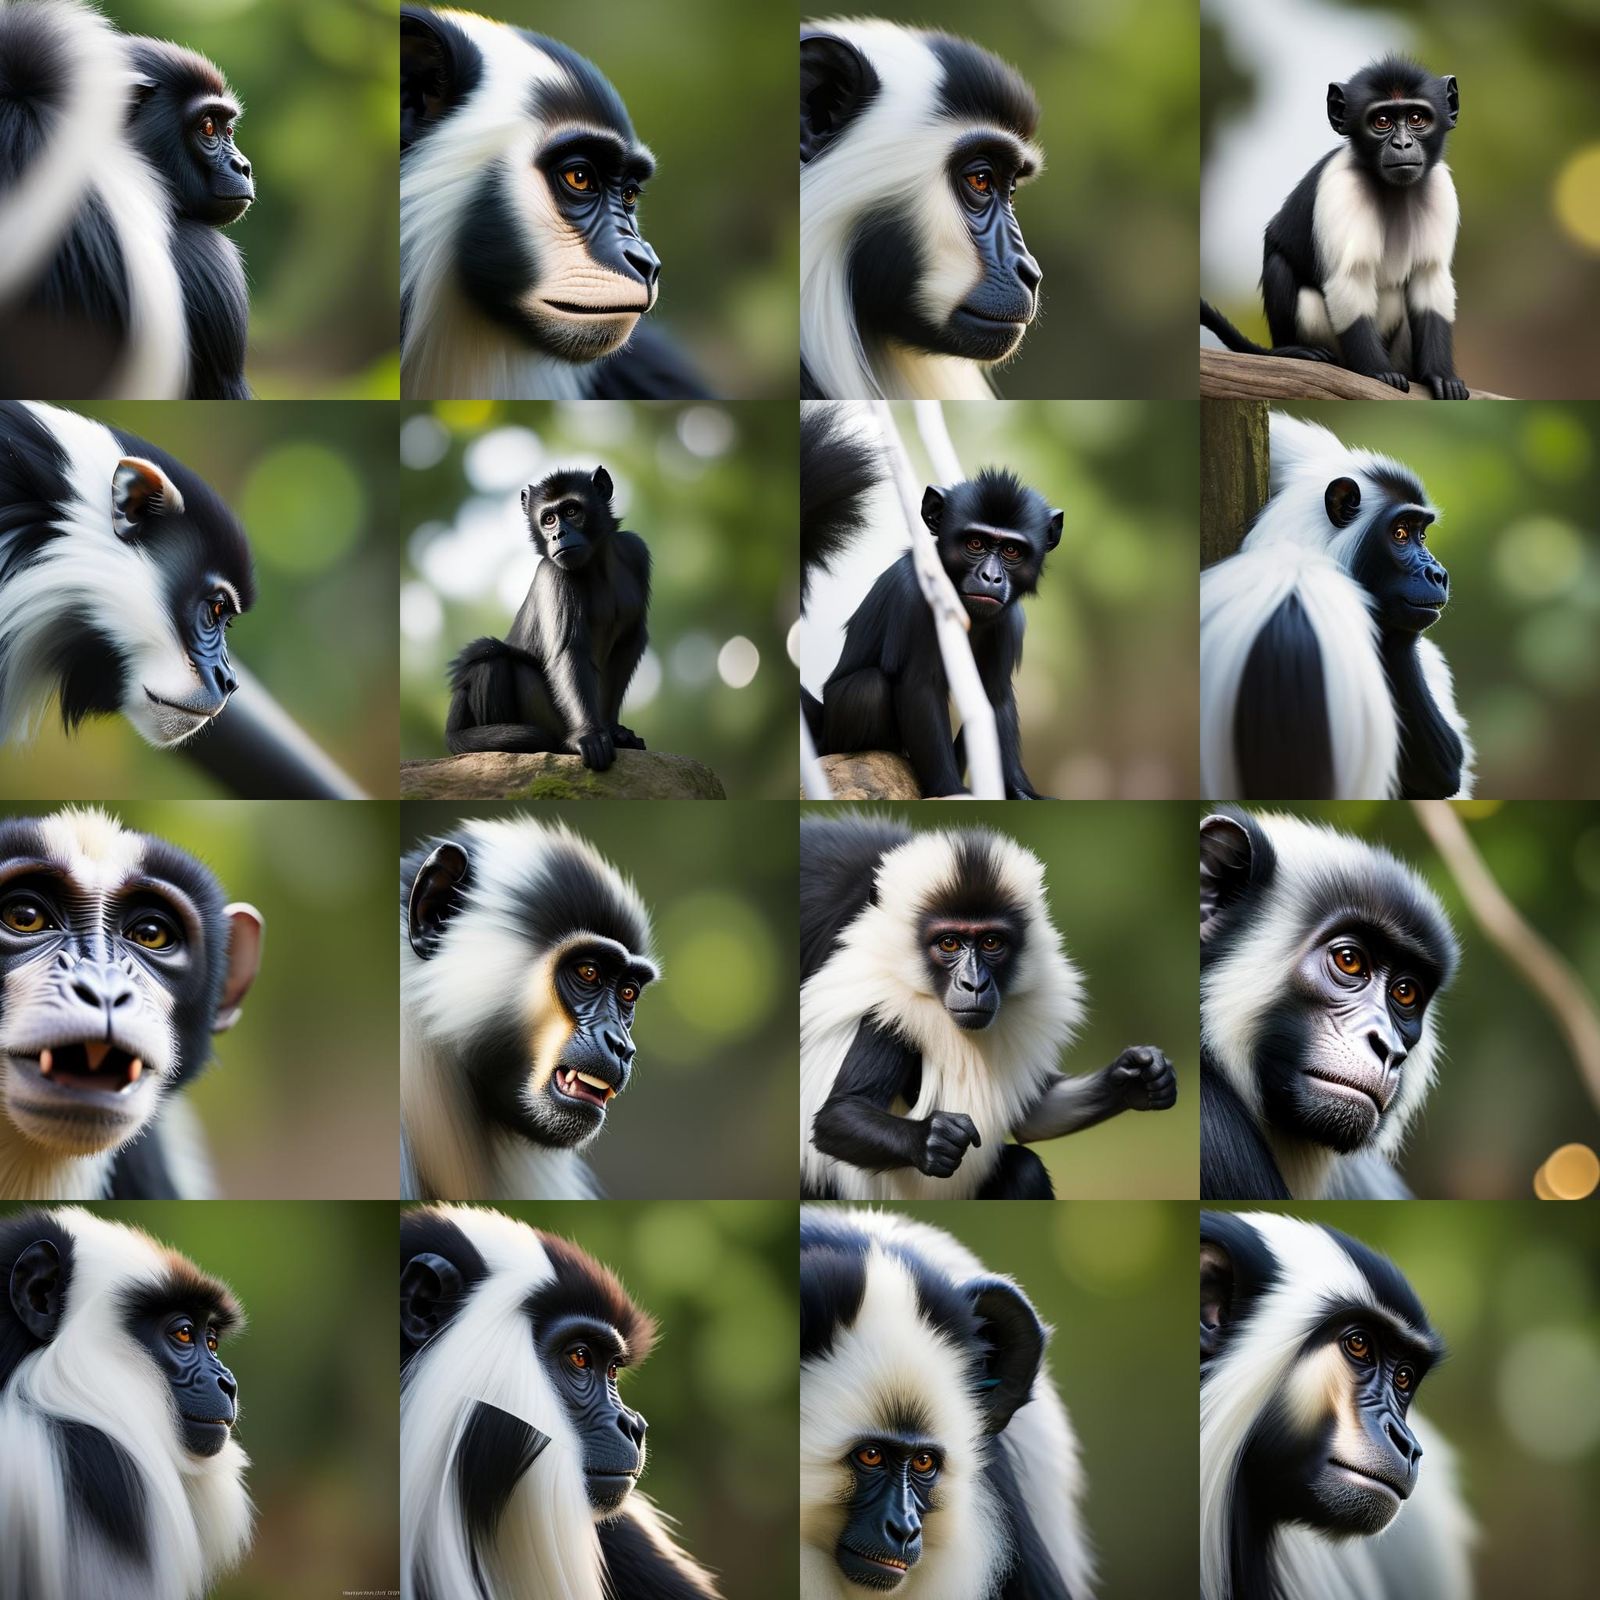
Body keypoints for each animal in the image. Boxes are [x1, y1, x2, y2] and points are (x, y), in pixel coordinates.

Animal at [444, 465, 650, 772]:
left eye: (571, 511)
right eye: (549, 519)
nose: (558, 535)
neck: (597, 565)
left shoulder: (637, 551)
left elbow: (630, 640)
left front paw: (614, 731)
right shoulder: (553, 573)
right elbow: (569, 651)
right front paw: (589, 735)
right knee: (490, 659)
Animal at [799, 409, 1062, 798]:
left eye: (1012, 550)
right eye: (975, 543)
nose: (991, 577)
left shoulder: (1010, 621)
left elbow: (995, 699)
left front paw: (1020, 790)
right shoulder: (915, 598)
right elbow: (919, 688)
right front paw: (952, 790)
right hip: (835, 734)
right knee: (869, 688)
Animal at [800, 814, 1176, 1201]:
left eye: (991, 942)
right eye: (949, 943)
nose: (975, 985)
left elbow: (1035, 1115)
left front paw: (1139, 1077)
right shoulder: (888, 1005)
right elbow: (837, 1116)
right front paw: (933, 1139)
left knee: (1026, 1169)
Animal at [1201, 58, 1469, 399]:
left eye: (1416, 118)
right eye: (1382, 121)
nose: (1403, 143)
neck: (1392, 190)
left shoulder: (1440, 188)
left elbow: (1429, 279)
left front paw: (1440, 376)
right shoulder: (1341, 186)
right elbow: (1348, 279)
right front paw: (1378, 372)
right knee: (1279, 267)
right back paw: (1295, 352)